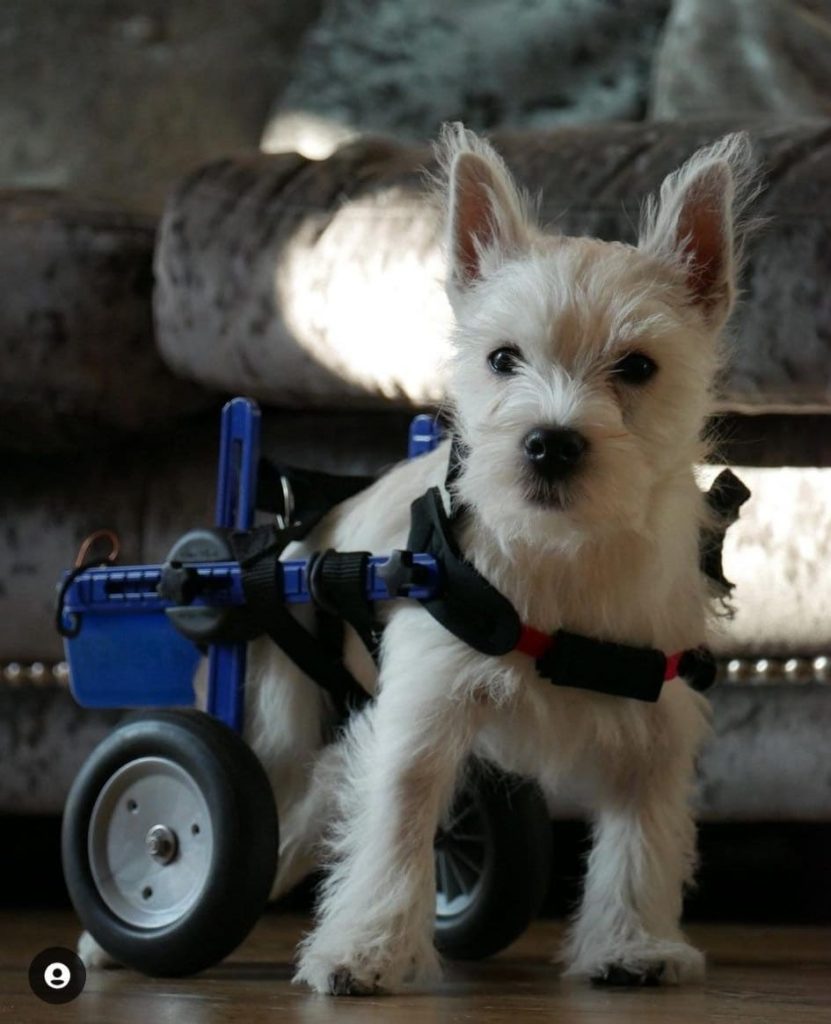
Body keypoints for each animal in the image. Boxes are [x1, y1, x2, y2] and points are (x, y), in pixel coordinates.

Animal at [81, 123, 757, 995]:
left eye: (637, 367)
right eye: (502, 359)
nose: (550, 443)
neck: (564, 556)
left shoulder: (653, 734)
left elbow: (639, 840)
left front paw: (631, 944)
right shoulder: (422, 715)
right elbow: (397, 822)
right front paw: (365, 951)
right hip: (273, 723)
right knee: (240, 798)